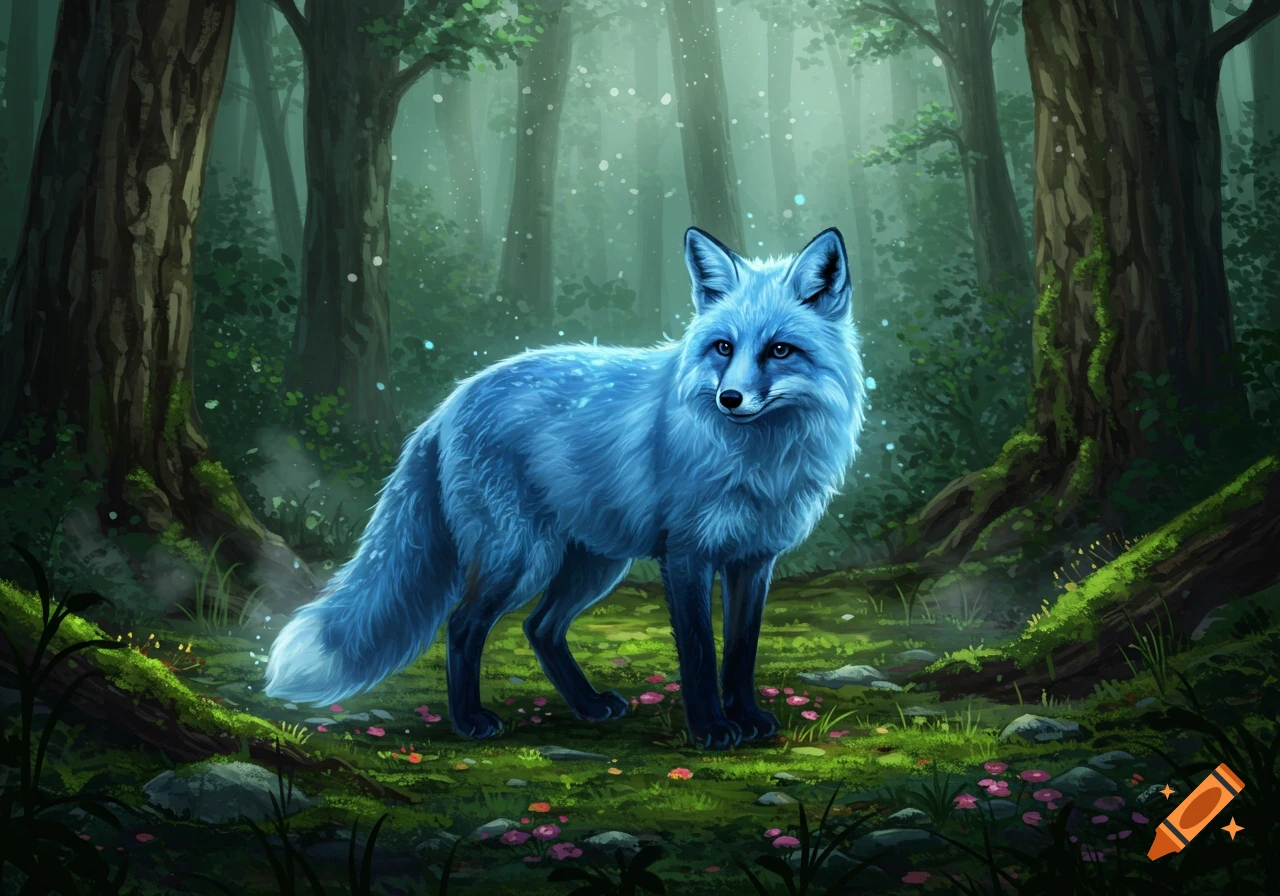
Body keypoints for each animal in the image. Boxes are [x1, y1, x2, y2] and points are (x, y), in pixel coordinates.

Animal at [264, 226, 866, 749]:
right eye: (723, 347)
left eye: (780, 350)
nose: (730, 399)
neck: (758, 461)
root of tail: (449, 403)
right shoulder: (687, 555)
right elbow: (698, 653)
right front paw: (712, 729)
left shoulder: (753, 559)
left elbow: (741, 652)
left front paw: (745, 717)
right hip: (520, 557)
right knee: (462, 625)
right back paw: (470, 720)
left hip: (594, 564)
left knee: (540, 628)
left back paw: (588, 705)